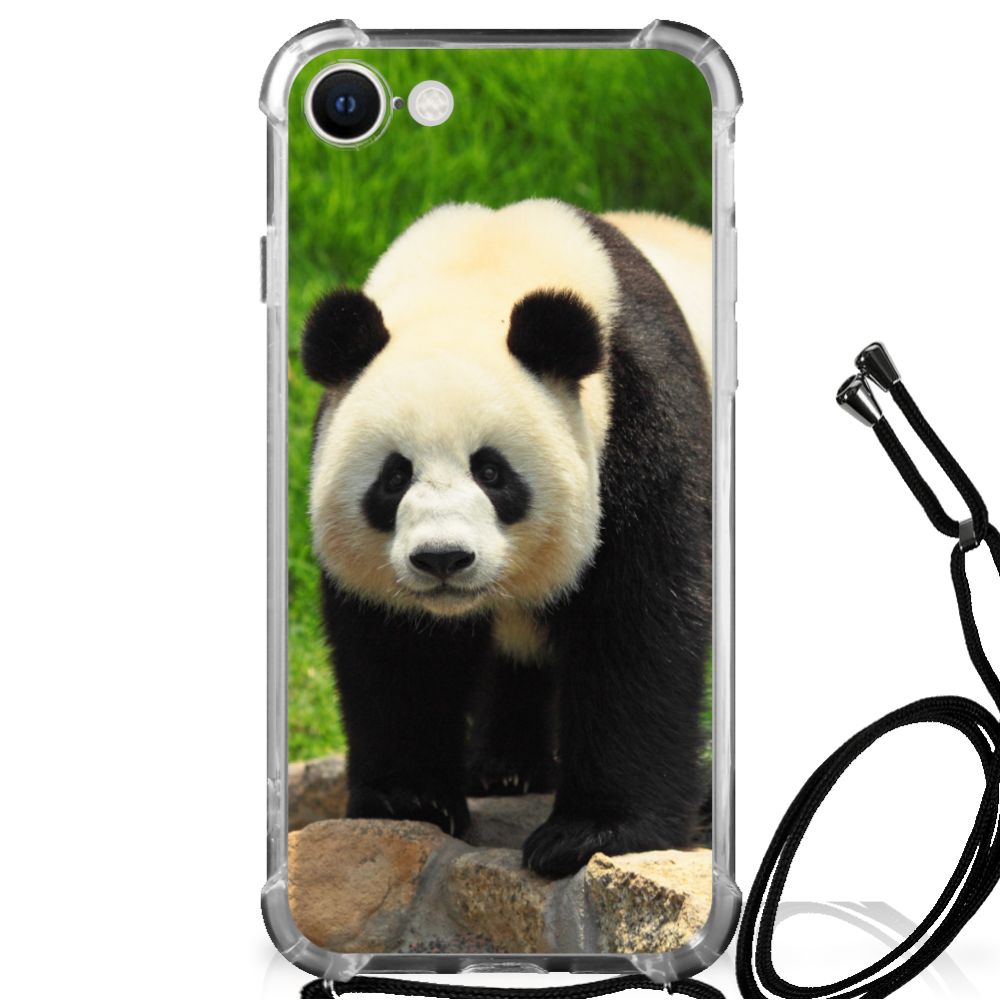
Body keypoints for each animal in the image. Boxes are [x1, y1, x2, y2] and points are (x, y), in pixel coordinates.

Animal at [302, 199, 712, 878]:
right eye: (394, 476)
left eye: (491, 472)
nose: (442, 558)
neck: (479, 272)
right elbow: (396, 649)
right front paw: (409, 799)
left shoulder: (642, 420)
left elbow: (639, 622)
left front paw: (590, 833)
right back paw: (505, 769)